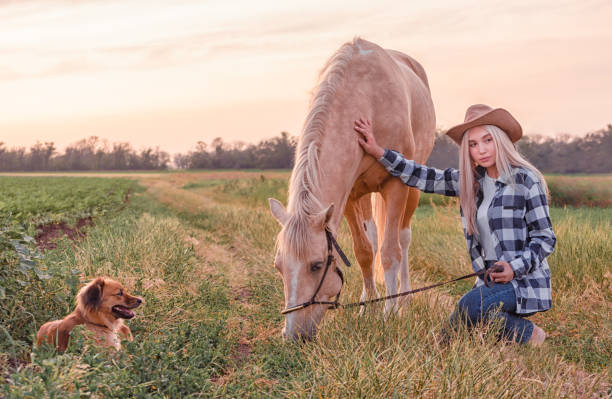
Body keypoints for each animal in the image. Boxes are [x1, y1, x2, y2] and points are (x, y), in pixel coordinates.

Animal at [268, 38, 436, 340]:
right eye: (279, 266)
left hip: (412, 187)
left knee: (403, 238)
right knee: (373, 238)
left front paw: (389, 313)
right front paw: (369, 308)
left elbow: (390, 252)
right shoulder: (347, 197)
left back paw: (404, 298)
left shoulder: (395, 186)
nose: (293, 335)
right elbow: (364, 252)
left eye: (316, 265)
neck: (366, 100)